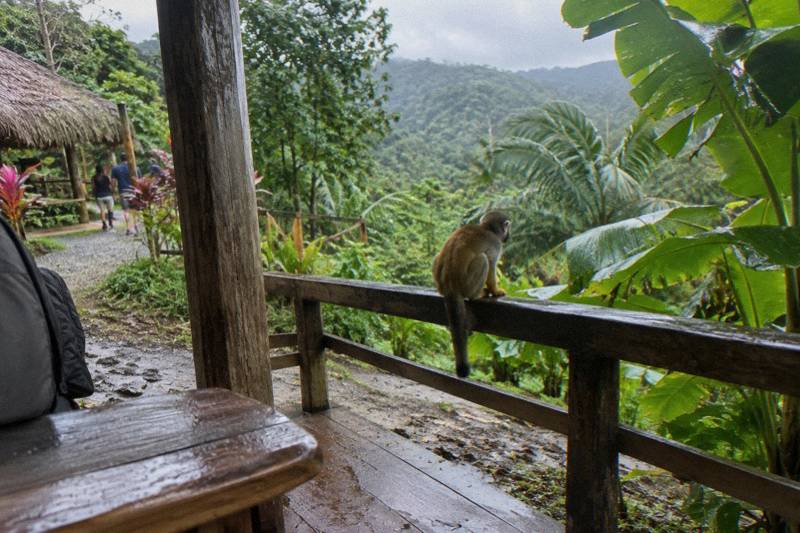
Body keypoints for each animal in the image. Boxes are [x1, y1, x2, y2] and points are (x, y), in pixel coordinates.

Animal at [433, 211, 510, 378]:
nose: (508, 236)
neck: (486, 228)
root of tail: (449, 285)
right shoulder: (495, 244)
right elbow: (492, 264)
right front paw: (496, 290)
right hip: (467, 284)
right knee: (483, 259)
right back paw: (478, 294)